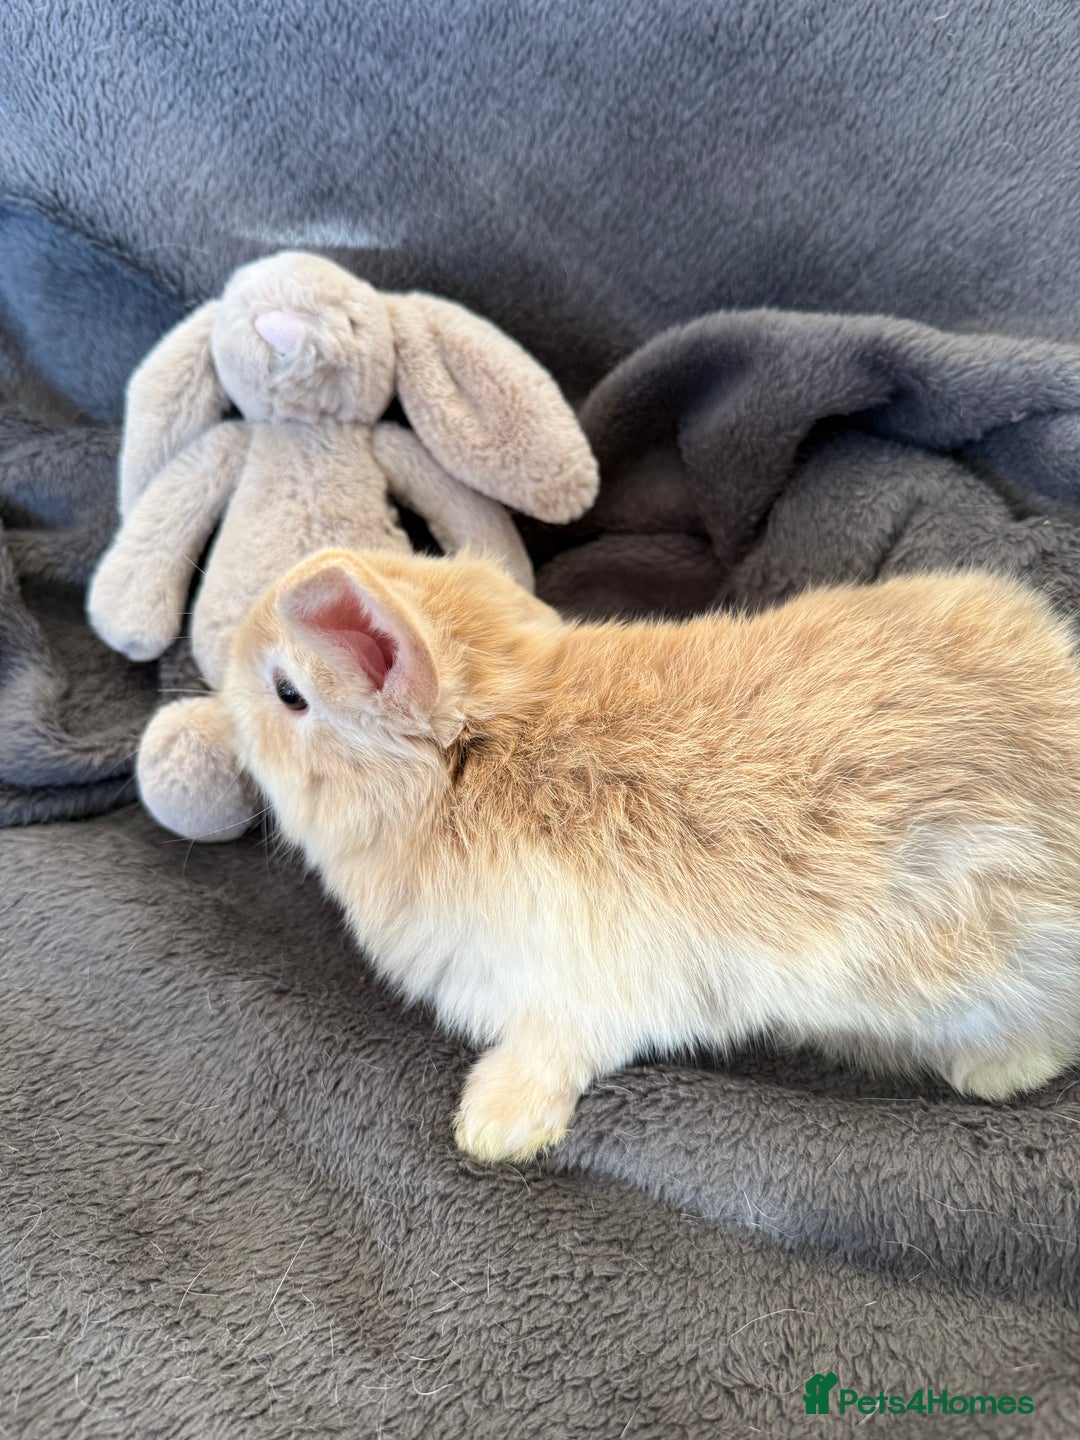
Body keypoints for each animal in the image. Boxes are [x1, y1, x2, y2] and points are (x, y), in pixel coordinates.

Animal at [221, 547, 1080, 1163]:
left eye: (288, 693)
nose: (222, 662)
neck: (469, 771)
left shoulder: (573, 995)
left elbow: (552, 1057)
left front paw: (494, 1128)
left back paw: (992, 1072)